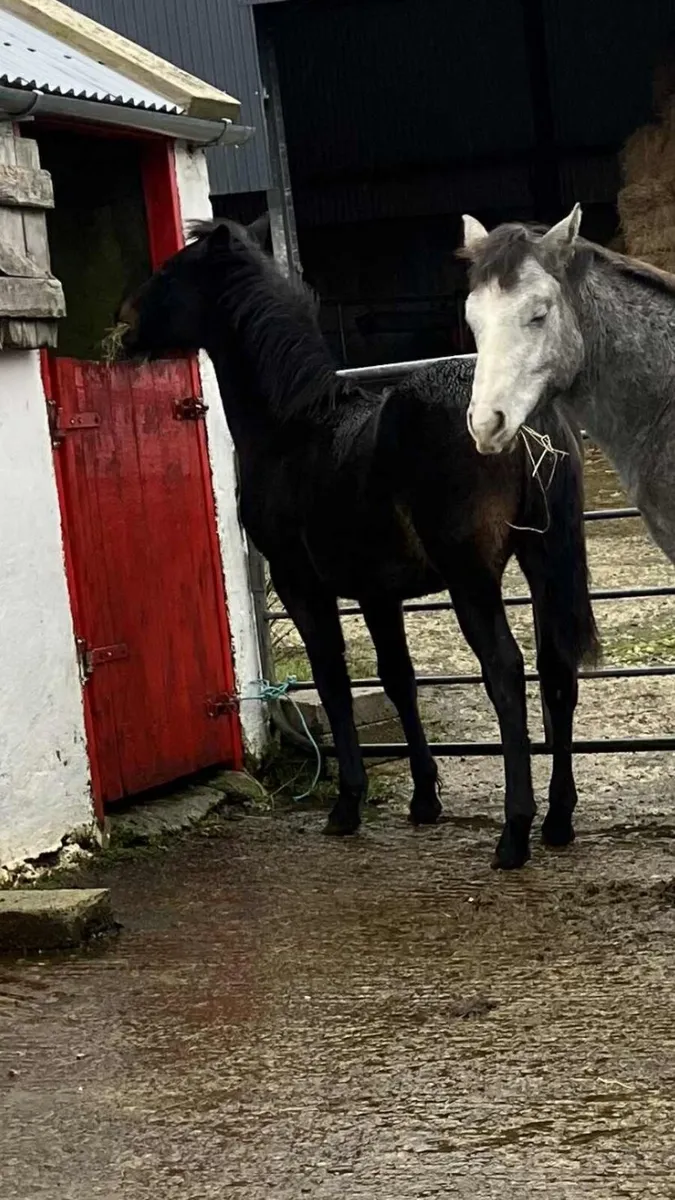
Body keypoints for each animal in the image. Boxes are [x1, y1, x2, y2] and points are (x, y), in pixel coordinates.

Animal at [116, 217, 598, 870]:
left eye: (171, 272)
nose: (124, 324)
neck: (294, 428)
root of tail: (522, 419)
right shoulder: (378, 593)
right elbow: (399, 681)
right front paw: (424, 799)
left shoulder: (303, 588)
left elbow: (334, 683)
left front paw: (347, 804)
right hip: (542, 561)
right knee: (556, 670)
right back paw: (558, 820)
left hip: (473, 578)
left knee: (505, 671)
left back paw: (515, 833)